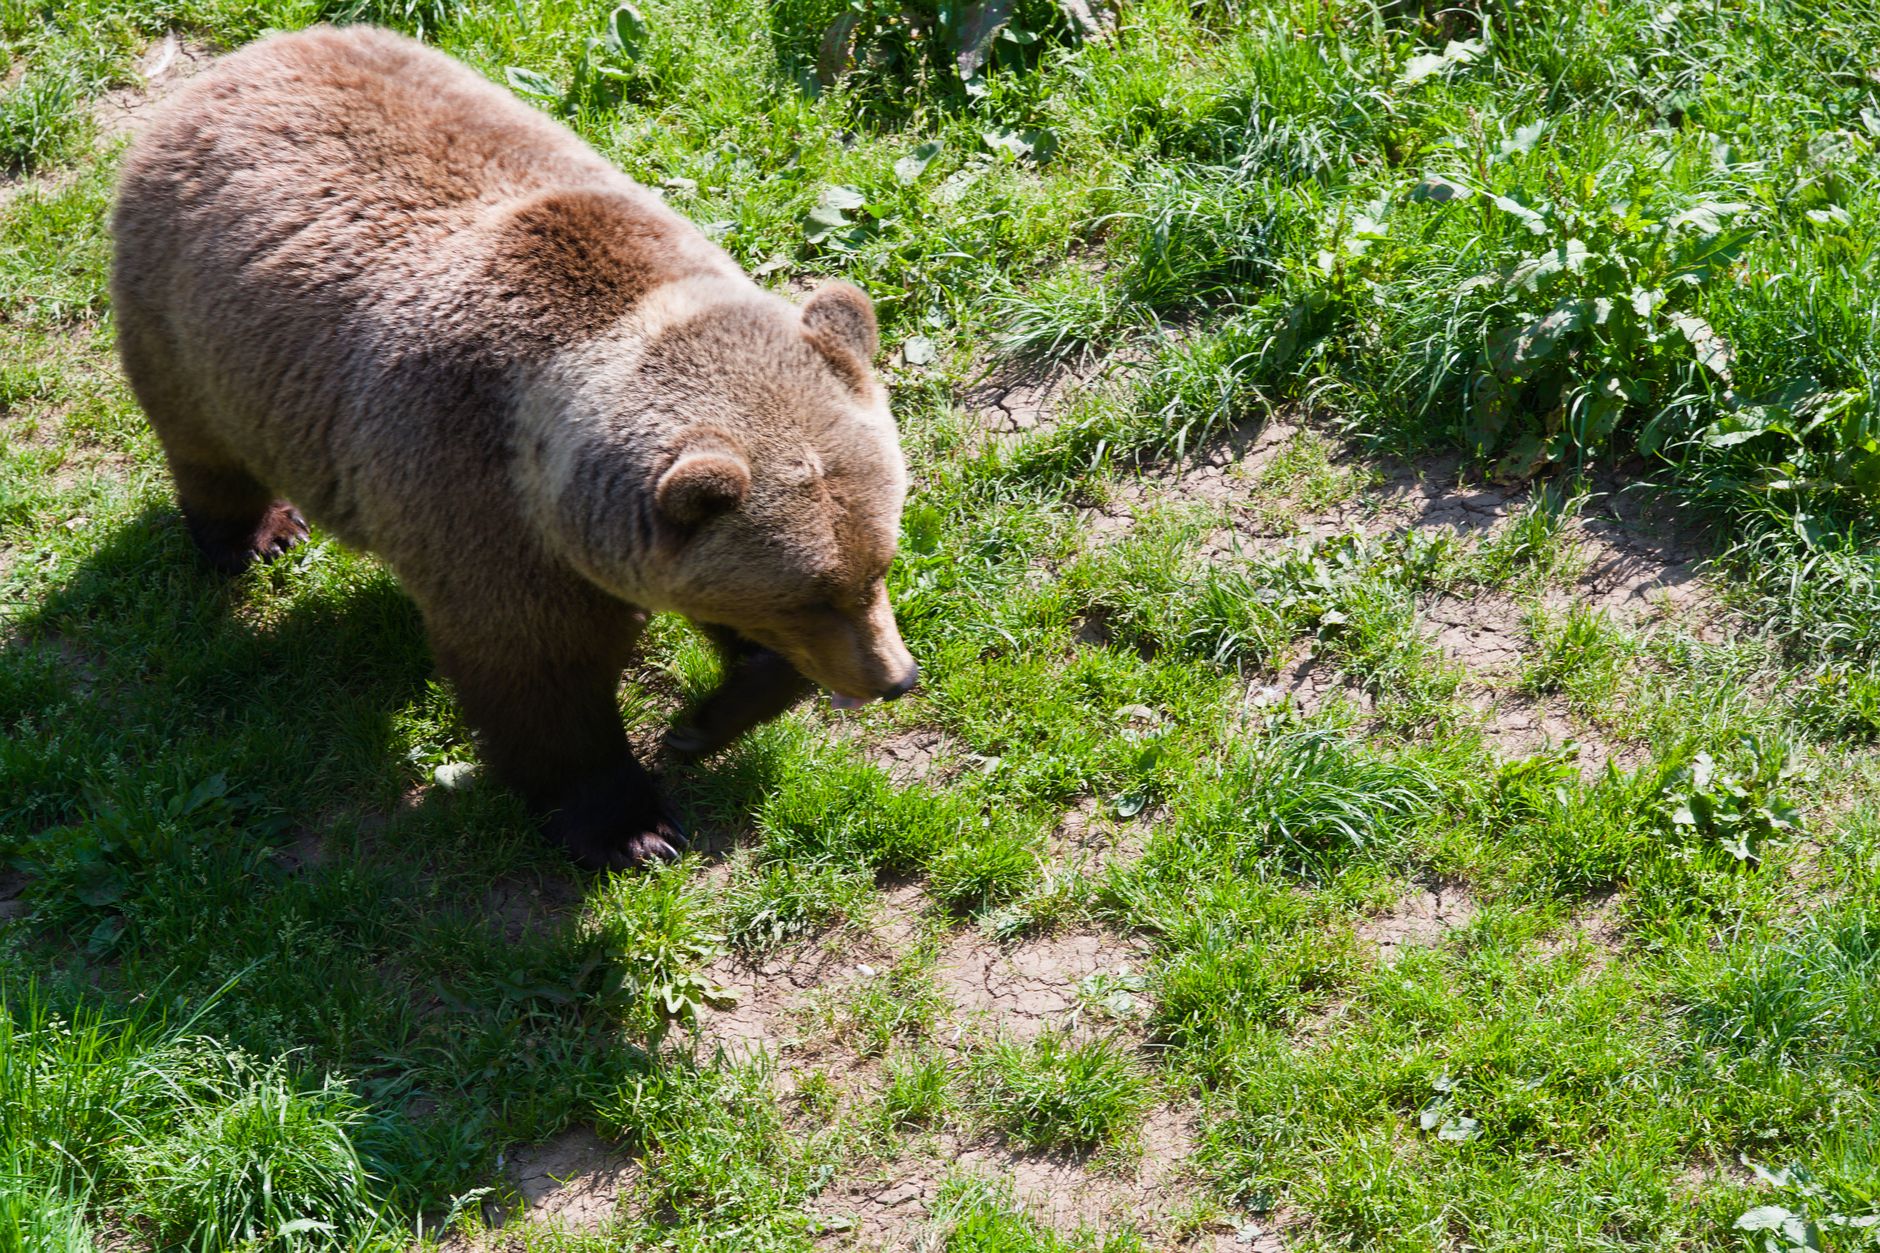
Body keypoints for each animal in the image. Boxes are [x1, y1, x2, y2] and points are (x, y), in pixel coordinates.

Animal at [110, 24, 919, 869]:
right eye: (811, 591)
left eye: (879, 564)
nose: (897, 677)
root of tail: (239, 61)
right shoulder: (479, 491)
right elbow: (537, 674)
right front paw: (632, 824)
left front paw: (705, 721)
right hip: (194, 331)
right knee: (204, 448)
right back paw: (261, 533)